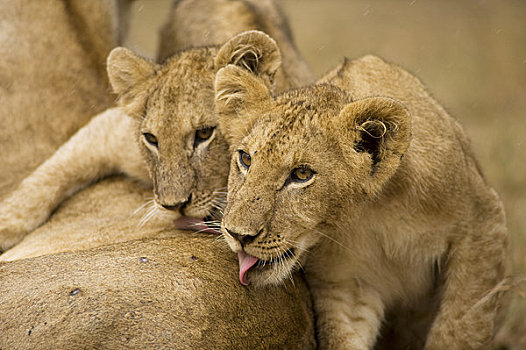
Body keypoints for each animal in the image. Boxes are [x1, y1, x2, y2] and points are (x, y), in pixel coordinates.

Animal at [216, 54, 512, 348]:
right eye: (246, 159)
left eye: (301, 174)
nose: (238, 235)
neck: (373, 209)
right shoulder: (346, 285)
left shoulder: (482, 229)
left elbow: (459, 328)